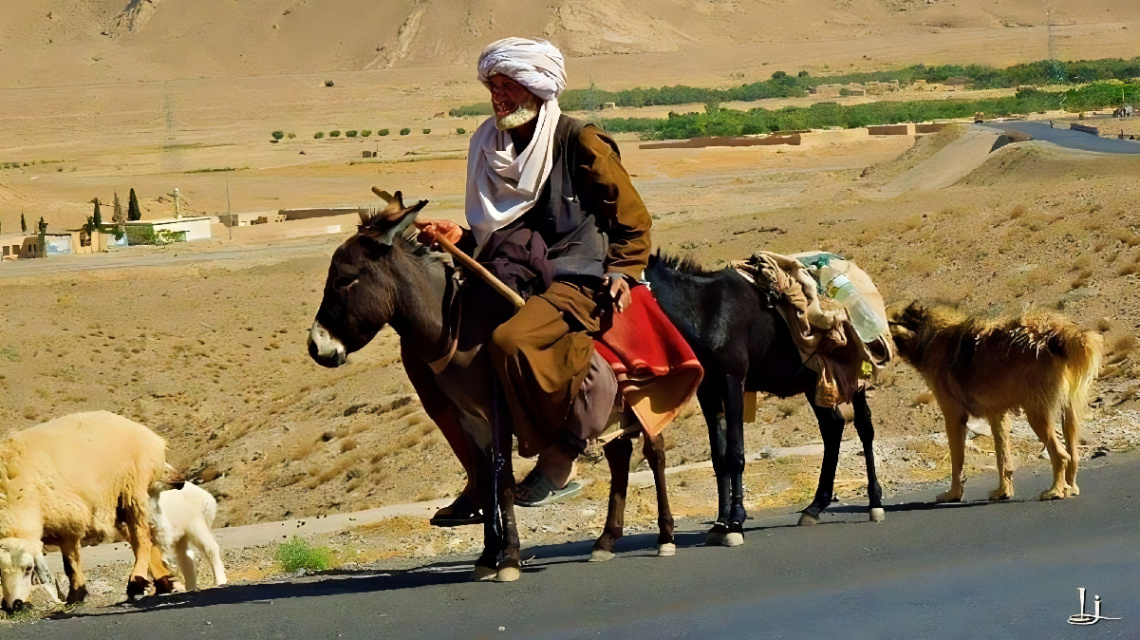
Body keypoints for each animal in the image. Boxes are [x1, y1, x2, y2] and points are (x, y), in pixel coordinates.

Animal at [889, 301, 1103, 501]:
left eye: (887, 320)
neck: (926, 336)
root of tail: (1054, 335)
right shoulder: (997, 415)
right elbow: (1002, 459)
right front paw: (1003, 491)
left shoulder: (953, 417)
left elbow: (957, 462)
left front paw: (953, 494)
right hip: (1069, 414)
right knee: (1073, 455)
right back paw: (1070, 488)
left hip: (1037, 415)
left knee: (1060, 455)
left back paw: (1055, 491)